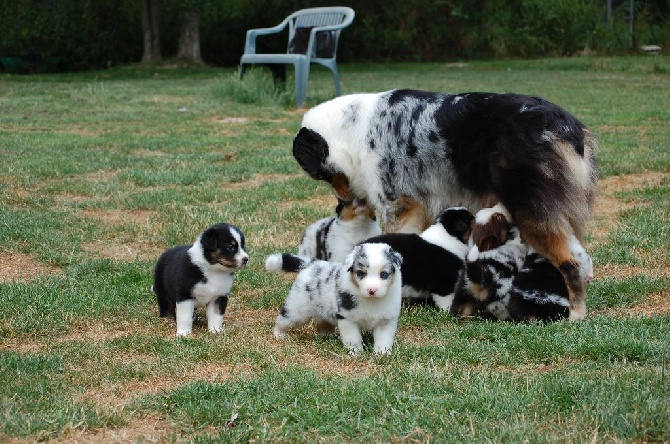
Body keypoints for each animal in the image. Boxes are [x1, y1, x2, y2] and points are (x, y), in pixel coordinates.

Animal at [292, 89, 600, 320]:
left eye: (322, 175)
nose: (341, 202)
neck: (351, 127)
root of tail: (568, 127)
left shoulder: (400, 205)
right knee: (580, 256)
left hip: (530, 210)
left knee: (571, 262)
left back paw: (575, 312)